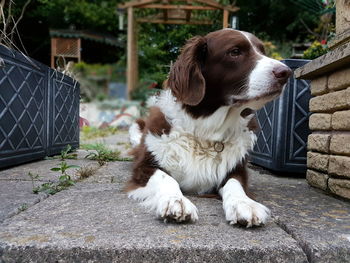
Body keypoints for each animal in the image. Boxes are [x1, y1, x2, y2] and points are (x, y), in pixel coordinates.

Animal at [125, 27, 290, 228]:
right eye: (235, 52)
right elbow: (166, 178)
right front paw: (175, 200)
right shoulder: (144, 167)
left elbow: (235, 184)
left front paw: (244, 204)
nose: (286, 72)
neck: (206, 132)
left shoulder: (236, 168)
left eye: (262, 51)